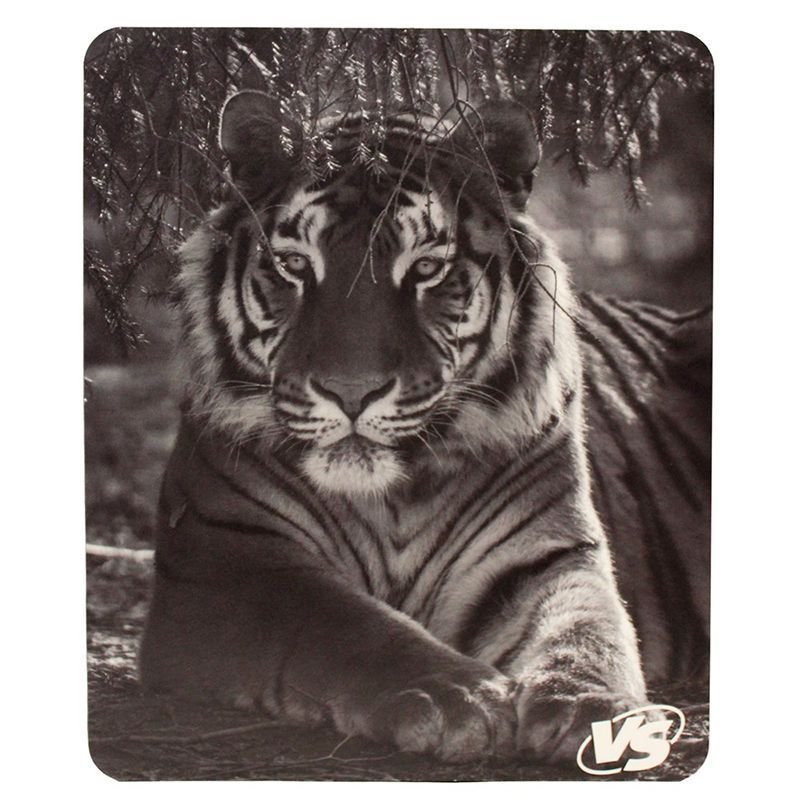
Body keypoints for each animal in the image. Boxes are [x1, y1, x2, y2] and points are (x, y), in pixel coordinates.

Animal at [139, 90, 711, 765]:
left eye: (427, 268)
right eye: (295, 264)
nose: (351, 391)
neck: (394, 497)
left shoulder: (549, 555)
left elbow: (586, 629)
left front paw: (592, 707)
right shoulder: (227, 559)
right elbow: (345, 625)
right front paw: (455, 697)